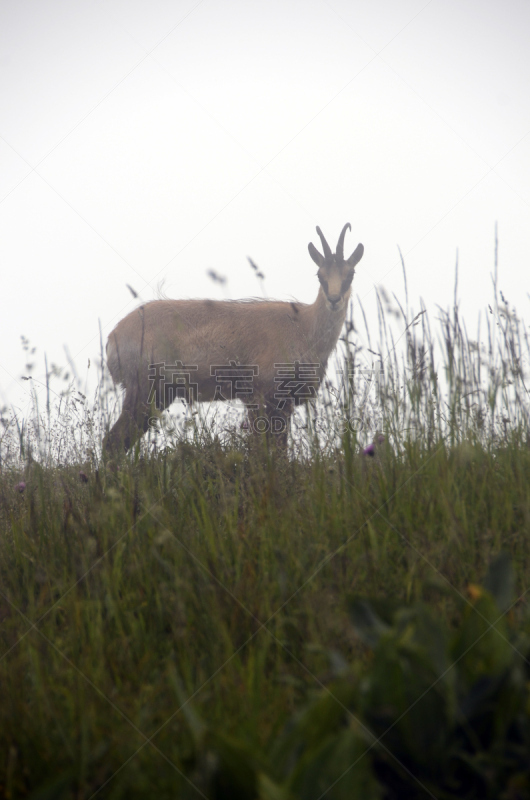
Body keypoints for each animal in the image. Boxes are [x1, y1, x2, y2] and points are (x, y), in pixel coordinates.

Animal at [102, 222, 360, 454]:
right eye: (320, 274)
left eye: (350, 274)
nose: (334, 300)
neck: (304, 327)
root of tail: (114, 335)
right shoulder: (262, 397)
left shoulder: (281, 404)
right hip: (144, 390)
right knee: (112, 442)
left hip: (160, 396)